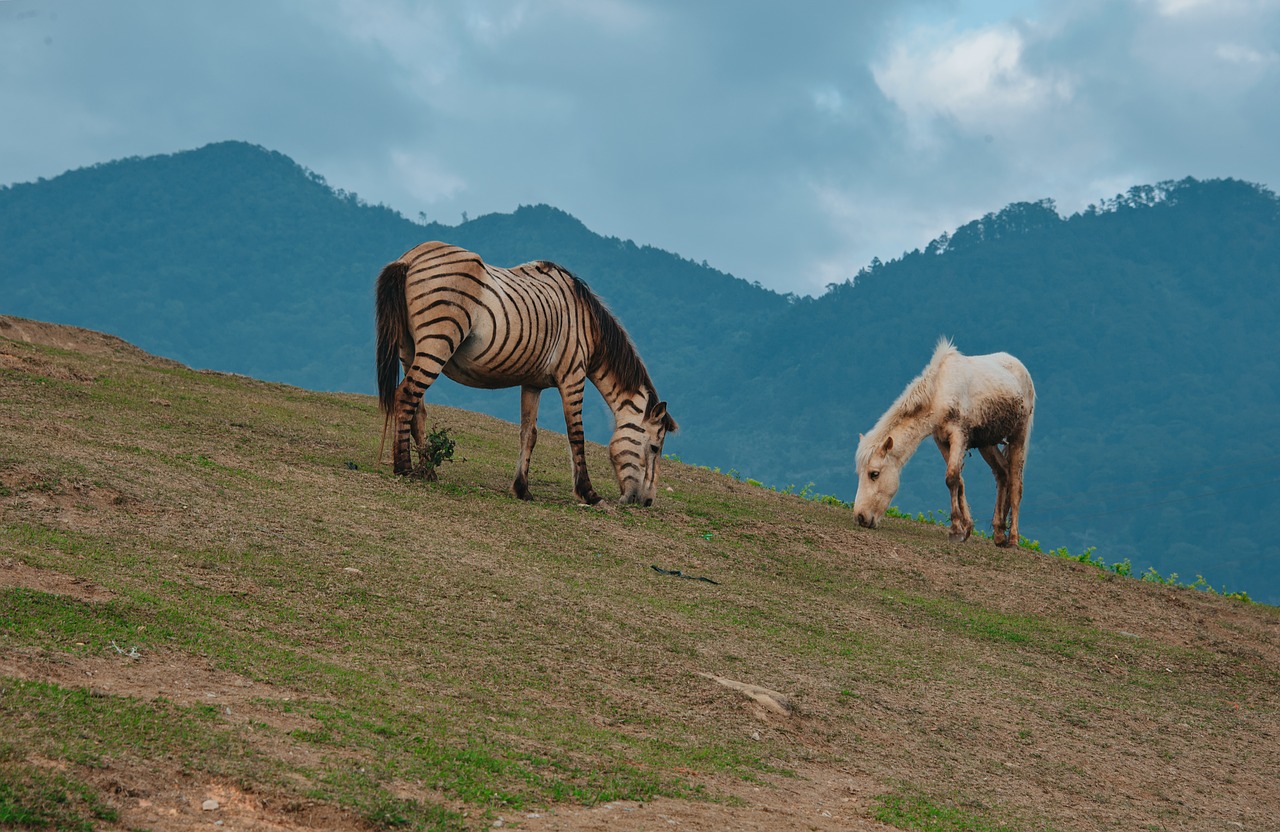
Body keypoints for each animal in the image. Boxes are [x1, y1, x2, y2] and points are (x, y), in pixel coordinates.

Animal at [376, 236, 680, 501]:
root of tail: (411, 258)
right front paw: (588, 493)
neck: (587, 326)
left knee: (417, 407)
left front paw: (521, 489)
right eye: (655, 447)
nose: (647, 502)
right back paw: (404, 467)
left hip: (409, 349)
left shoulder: (533, 383)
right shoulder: (573, 376)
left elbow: (529, 434)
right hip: (437, 342)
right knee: (406, 396)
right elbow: (576, 435)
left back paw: (427, 471)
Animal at [855, 337, 1034, 545]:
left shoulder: (958, 436)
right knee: (1002, 473)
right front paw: (966, 527)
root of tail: (1021, 368)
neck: (940, 393)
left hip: (1019, 435)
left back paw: (1012, 539)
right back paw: (998, 534)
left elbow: (951, 477)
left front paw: (956, 530)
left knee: (1015, 483)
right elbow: (959, 480)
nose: (860, 517)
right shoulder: (941, 440)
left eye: (874, 474)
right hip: (986, 443)